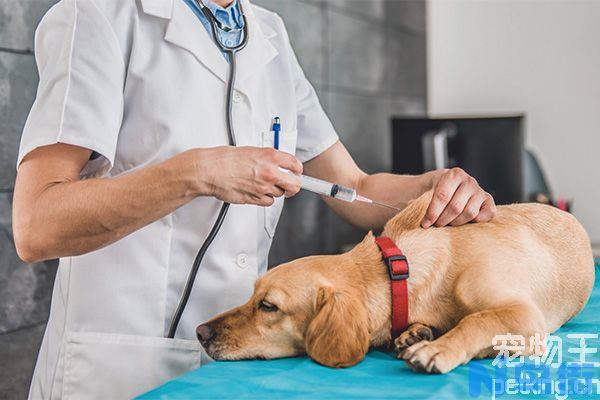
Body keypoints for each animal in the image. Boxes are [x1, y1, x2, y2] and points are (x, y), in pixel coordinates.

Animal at [197, 191, 596, 372]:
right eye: (252, 295)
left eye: (268, 306)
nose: (200, 332)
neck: (398, 273)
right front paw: (418, 334)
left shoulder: (525, 315)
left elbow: (477, 321)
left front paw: (438, 348)